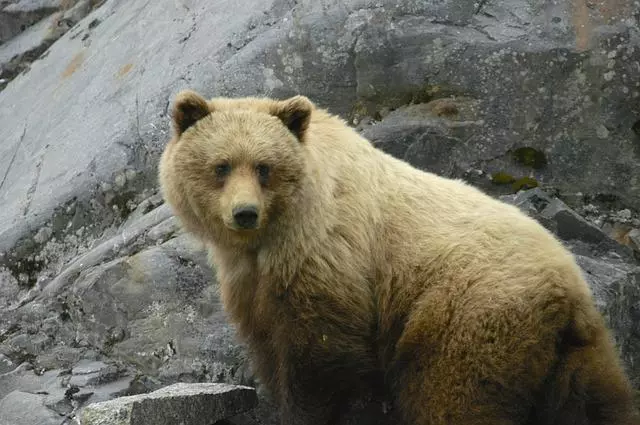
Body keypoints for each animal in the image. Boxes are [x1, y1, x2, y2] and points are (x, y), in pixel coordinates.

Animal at [158, 90, 636, 424]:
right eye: (221, 166)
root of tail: (567, 292)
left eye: (264, 167)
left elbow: (319, 359)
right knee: (597, 404)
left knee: (453, 398)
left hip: (466, 316)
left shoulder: (328, 256)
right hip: (577, 355)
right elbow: (268, 345)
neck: (272, 236)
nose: (244, 213)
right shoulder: (251, 282)